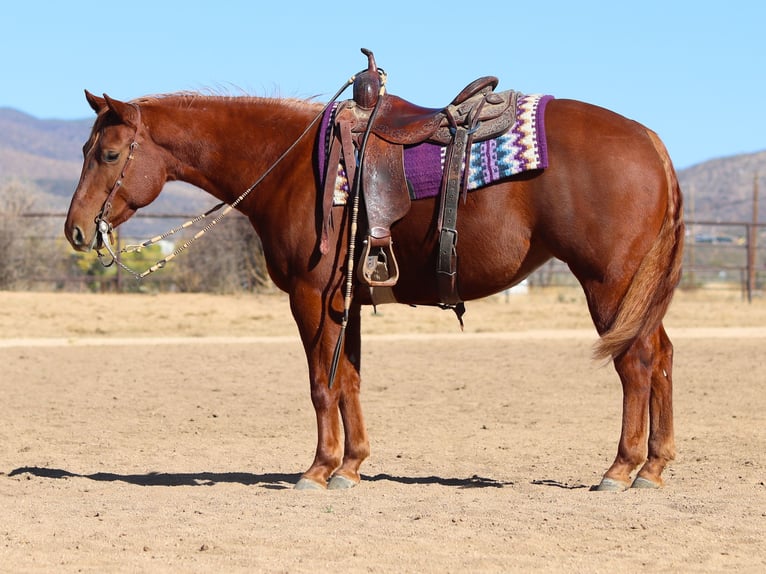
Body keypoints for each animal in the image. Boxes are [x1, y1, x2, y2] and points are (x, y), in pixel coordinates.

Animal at [66, 67, 688, 492]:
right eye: (86, 148)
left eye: (110, 153)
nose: (76, 229)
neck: (290, 166)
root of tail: (651, 141)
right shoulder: (348, 301)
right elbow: (350, 380)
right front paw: (352, 465)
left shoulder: (311, 297)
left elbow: (322, 384)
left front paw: (318, 470)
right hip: (633, 292)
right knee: (660, 357)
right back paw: (654, 467)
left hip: (609, 284)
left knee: (635, 364)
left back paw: (621, 468)